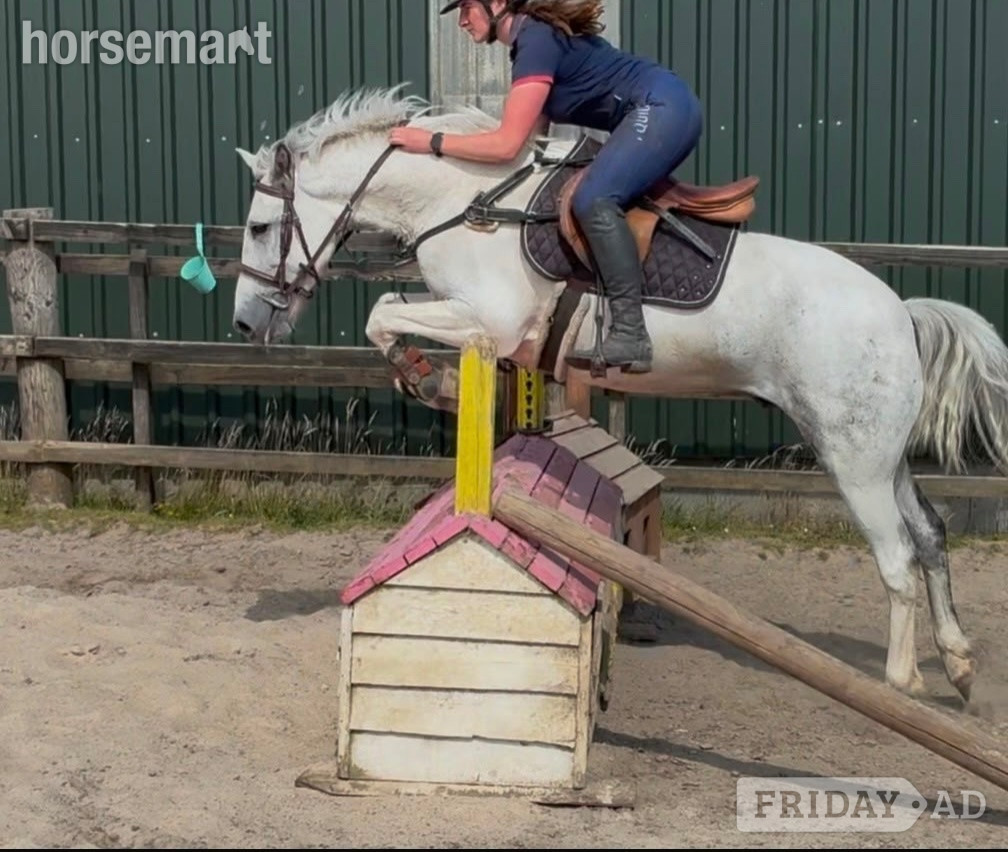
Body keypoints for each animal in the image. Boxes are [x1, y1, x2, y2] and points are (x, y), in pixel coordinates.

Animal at [231, 86, 1008, 706]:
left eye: (260, 228)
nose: (245, 324)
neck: (460, 202)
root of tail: (900, 312)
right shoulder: (484, 323)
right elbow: (387, 310)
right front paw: (424, 373)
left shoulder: (497, 320)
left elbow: (382, 311)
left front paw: (430, 376)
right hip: (880, 454)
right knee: (931, 536)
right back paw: (959, 664)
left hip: (854, 459)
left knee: (898, 558)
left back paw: (903, 683)